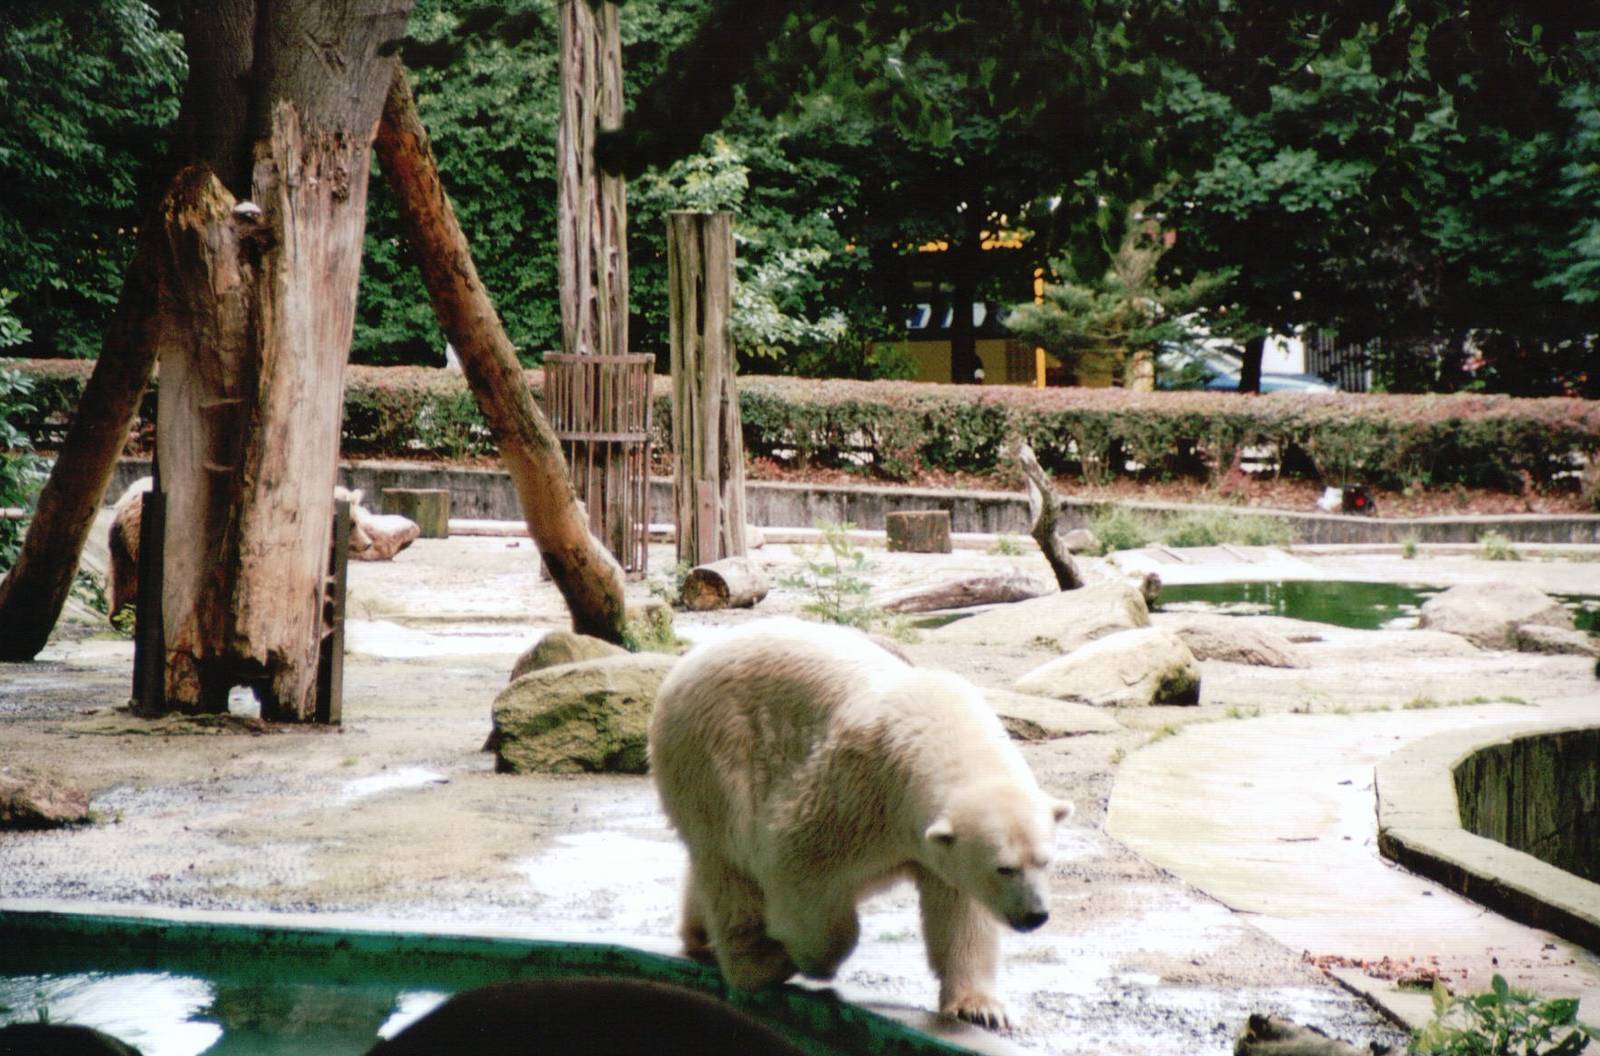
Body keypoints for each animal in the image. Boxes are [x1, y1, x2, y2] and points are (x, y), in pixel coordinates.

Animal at [648, 618, 1071, 1029]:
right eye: (1004, 868)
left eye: (1046, 861)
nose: (1035, 916)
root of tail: (682, 667)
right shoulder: (857, 789)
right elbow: (795, 863)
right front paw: (807, 958)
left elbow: (960, 913)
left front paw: (982, 1009)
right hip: (714, 752)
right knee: (729, 862)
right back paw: (758, 961)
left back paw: (699, 935)